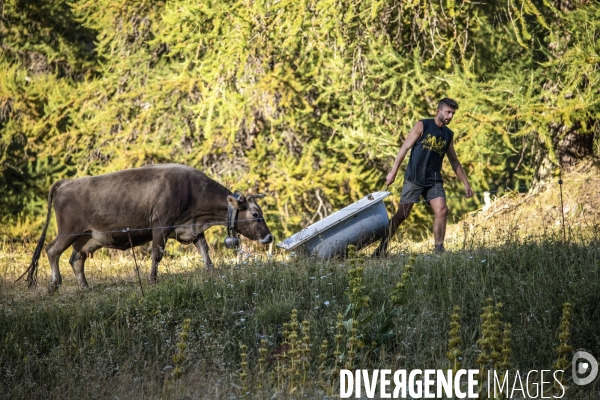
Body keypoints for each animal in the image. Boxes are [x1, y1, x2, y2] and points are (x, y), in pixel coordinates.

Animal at [18, 162, 272, 290]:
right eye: (255, 214)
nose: (268, 237)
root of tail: (66, 182)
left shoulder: (190, 228)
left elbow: (204, 250)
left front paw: (211, 271)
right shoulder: (161, 225)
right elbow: (156, 254)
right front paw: (152, 280)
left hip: (90, 236)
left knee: (76, 258)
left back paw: (85, 286)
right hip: (69, 230)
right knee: (52, 250)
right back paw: (55, 283)